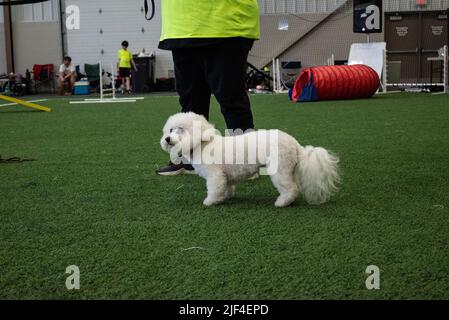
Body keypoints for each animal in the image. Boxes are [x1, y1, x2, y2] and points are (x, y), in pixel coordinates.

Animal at [159, 112, 338, 208]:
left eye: (181, 129)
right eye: (170, 130)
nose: (167, 139)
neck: (202, 143)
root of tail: (295, 144)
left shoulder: (215, 176)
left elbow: (214, 189)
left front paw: (210, 201)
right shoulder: (226, 176)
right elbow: (227, 188)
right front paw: (225, 197)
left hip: (280, 169)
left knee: (291, 189)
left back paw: (282, 202)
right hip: (288, 169)